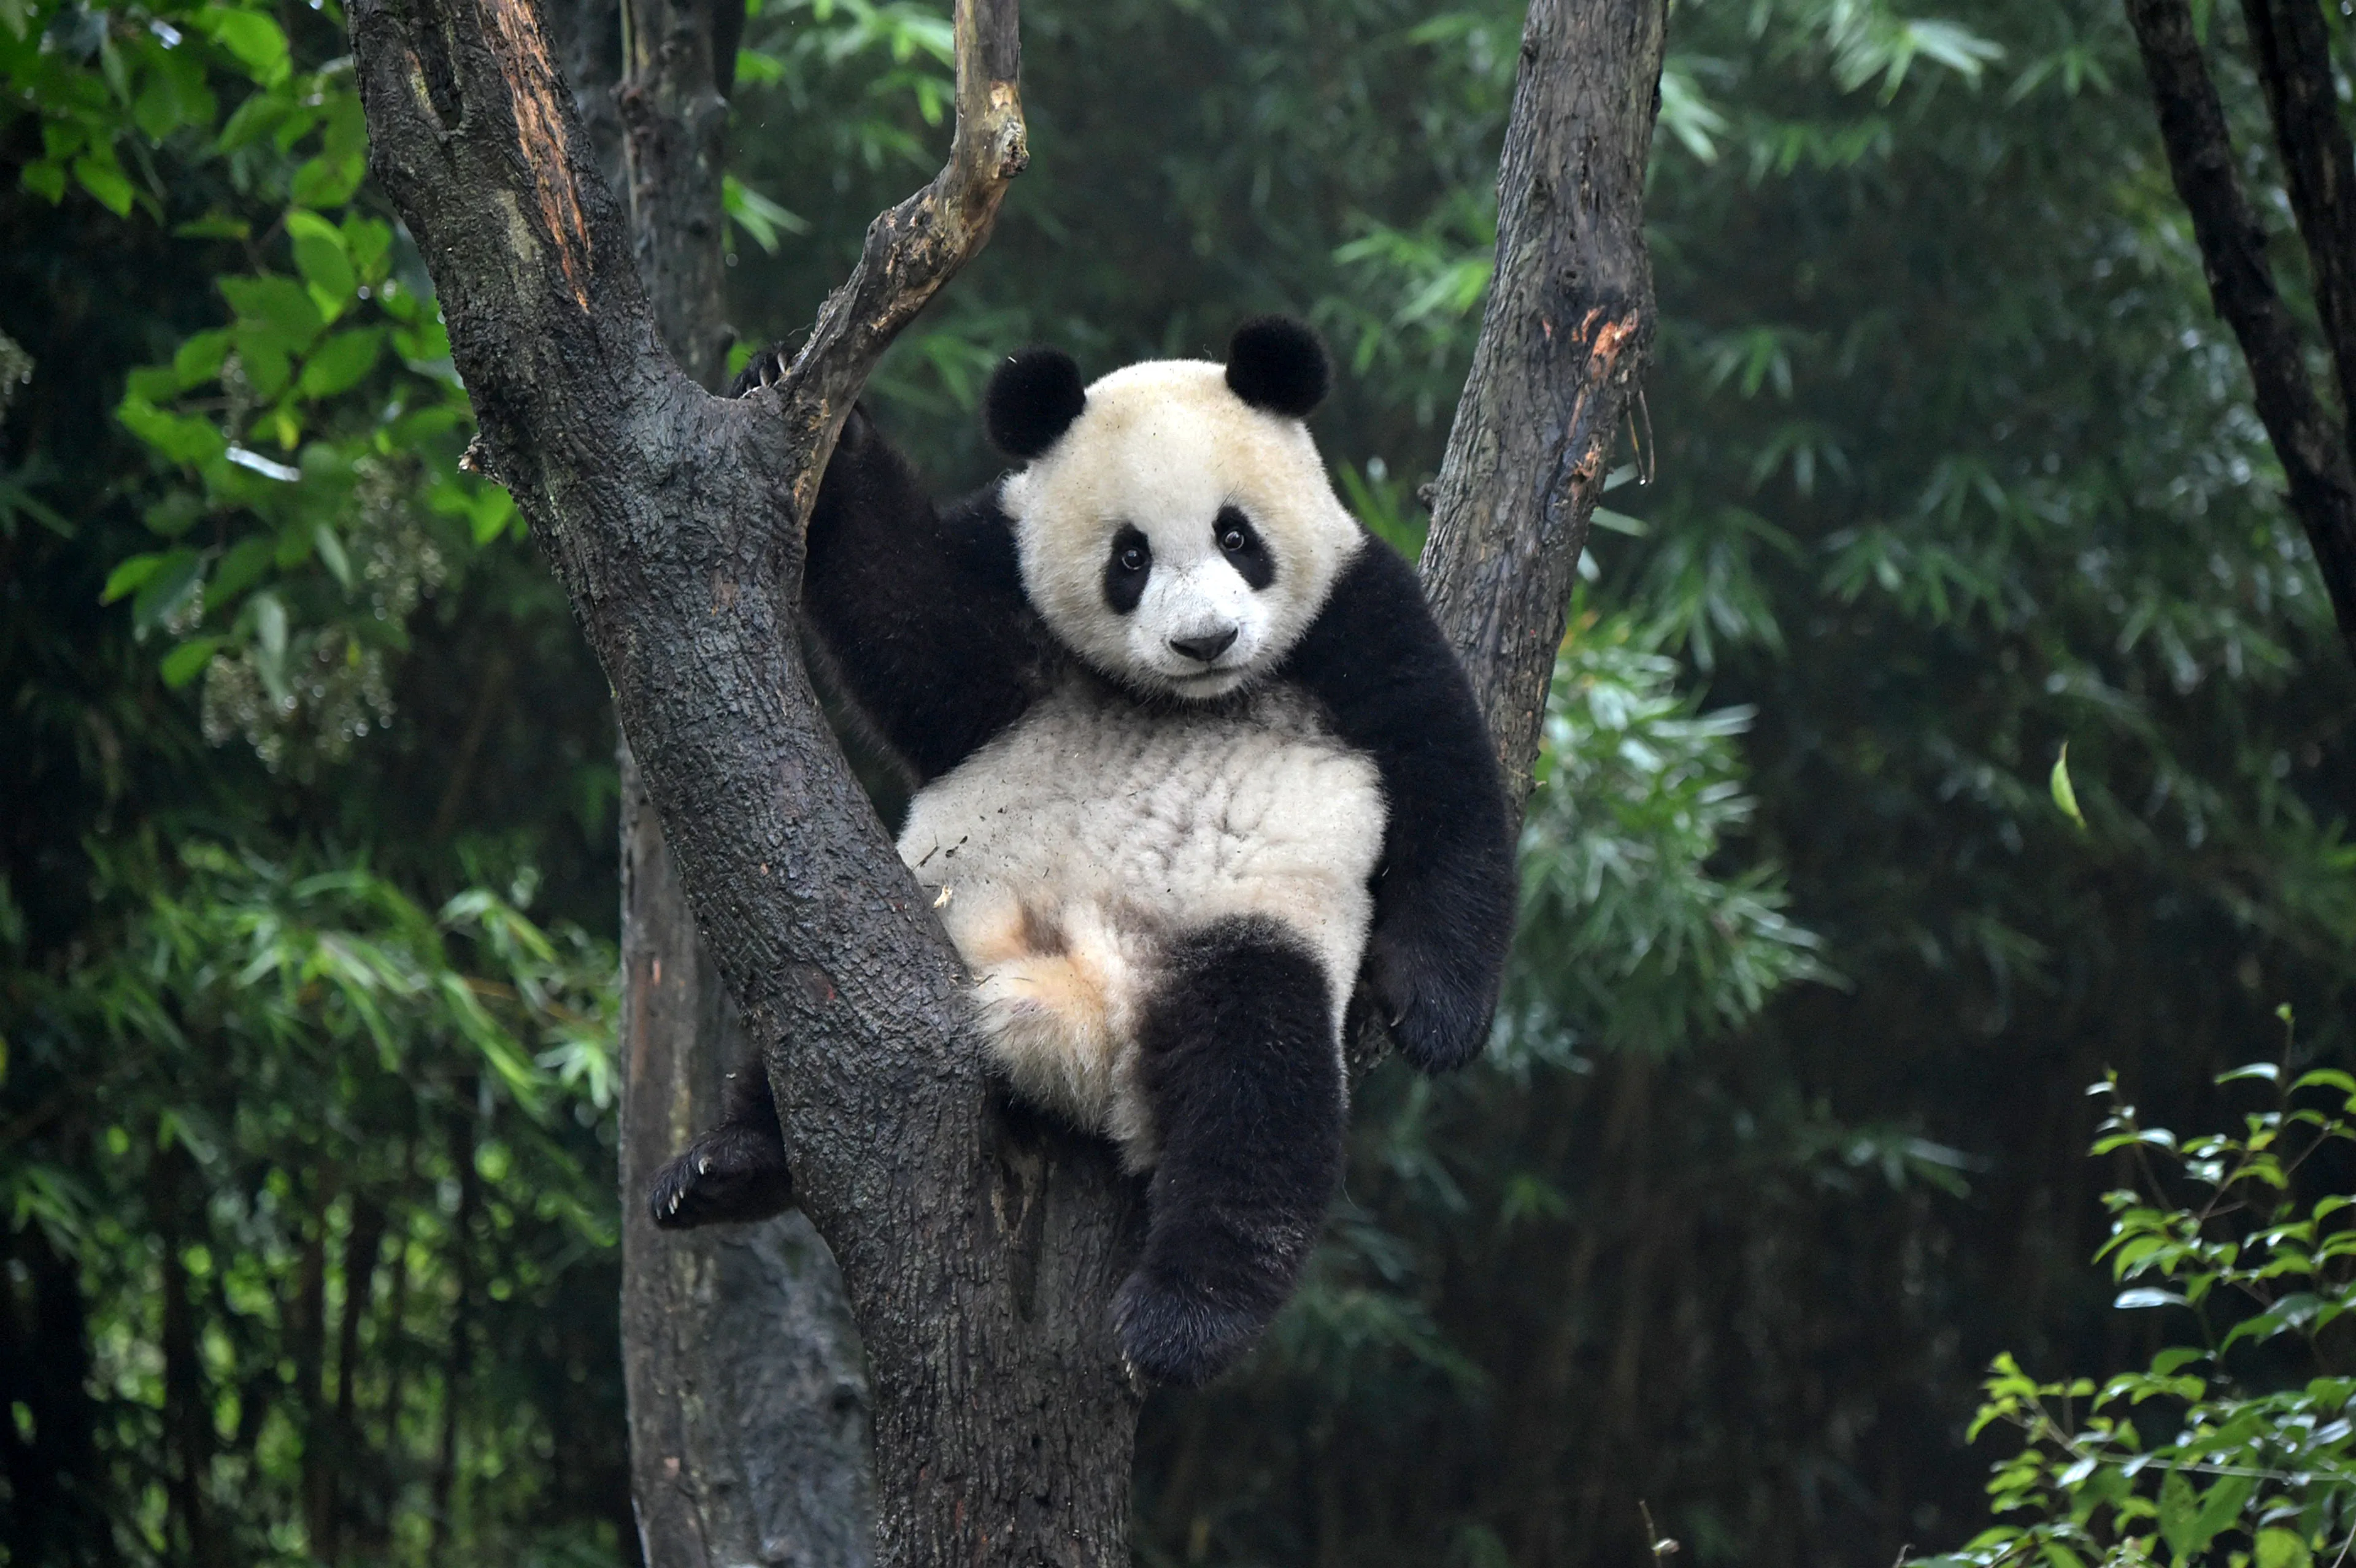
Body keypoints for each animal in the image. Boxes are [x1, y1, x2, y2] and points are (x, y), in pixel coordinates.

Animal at [651, 317, 1518, 1387]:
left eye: (1238, 536)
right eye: (1129, 558)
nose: (1206, 641)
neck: (1187, 701)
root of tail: (1078, 1012)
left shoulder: (1361, 619)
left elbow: (1446, 781)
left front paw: (1437, 1016)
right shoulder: (1008, 609)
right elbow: (909, 622)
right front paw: (802, 397)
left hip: (1236, 936)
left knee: (1258, 1094)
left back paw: (1184, 1321)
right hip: (933, 916)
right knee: (795, 1043)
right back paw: (722, 1168)